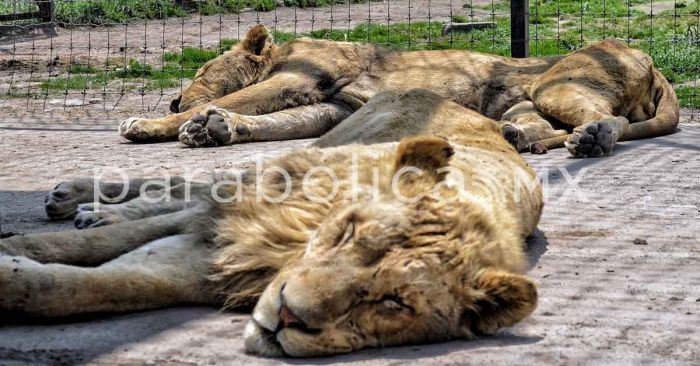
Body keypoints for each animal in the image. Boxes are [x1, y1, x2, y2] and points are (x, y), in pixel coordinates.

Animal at [1, 89, 540, 358]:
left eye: (393, 303)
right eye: (348, 234)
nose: (286, 317)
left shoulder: (202, 265)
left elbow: (75, 290)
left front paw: (20, 279)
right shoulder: (234, 217)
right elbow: (104, 242)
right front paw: (26, 245)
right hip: (314, 150)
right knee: (184, 186)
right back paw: (80, 201)